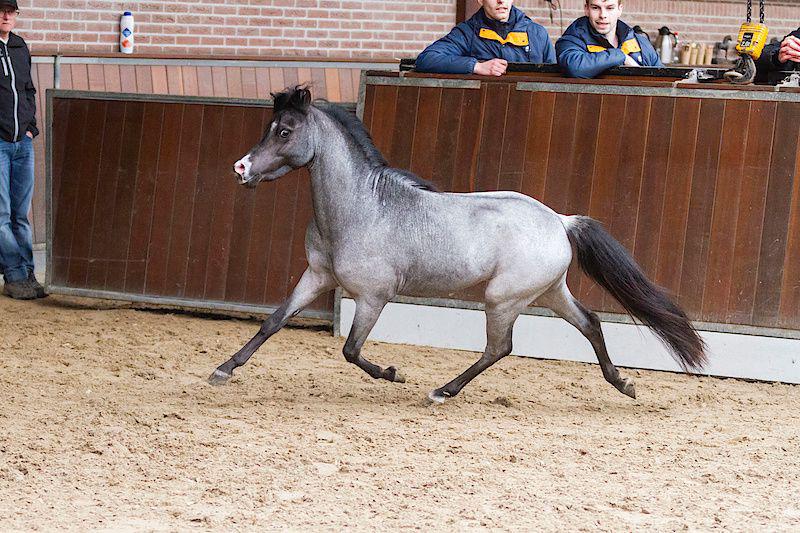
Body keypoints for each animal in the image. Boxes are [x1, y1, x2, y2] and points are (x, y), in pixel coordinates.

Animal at [208, 85, 707, 403]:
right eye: (270, 126)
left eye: (285, 131)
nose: (239, 168)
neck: (361, 208)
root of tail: (560, 222)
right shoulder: (316, 276)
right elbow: (273, 322)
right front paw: (222, 370)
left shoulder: (372, 297)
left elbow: (350, 350)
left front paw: (394, 374)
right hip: (548, 291)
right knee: (591, 323)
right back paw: (623, 384)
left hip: (503, 298)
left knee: (499, 348)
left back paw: (442, 392)